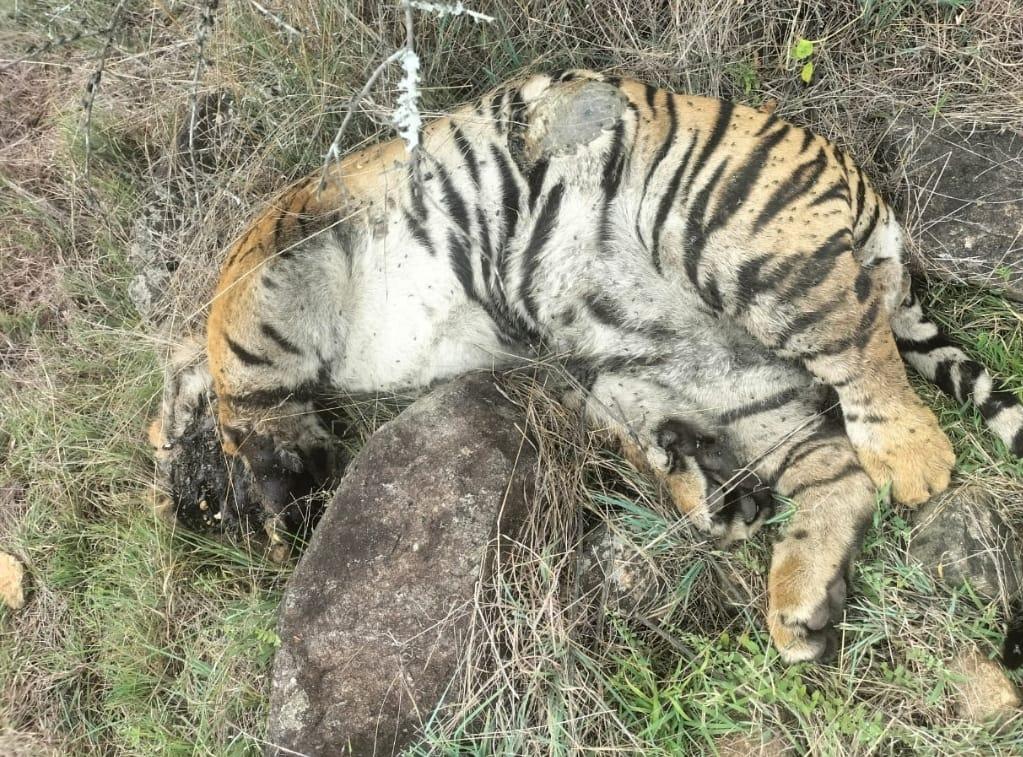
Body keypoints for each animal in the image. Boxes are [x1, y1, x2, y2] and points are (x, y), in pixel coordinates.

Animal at [150, 69, 1023, 663]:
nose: (171, 512)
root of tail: (861, 186)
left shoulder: (272, 250)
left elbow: (234, 368)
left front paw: (264, 486)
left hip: (737, 235)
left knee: (857, 344)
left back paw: (912, 461)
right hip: (711, 375)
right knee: (829, 468)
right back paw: (784, 589)